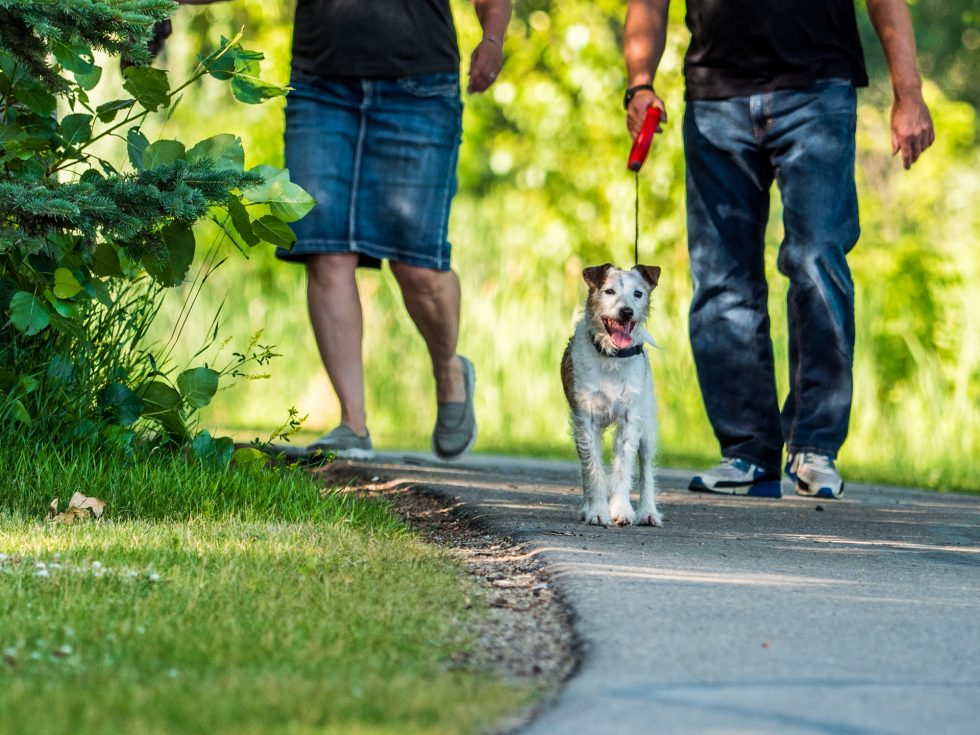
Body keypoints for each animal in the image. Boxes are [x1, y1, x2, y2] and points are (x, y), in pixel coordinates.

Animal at [564, 264, 664, 528]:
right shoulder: (586, 421)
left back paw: (648, 512)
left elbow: (622, 469)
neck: (612, 357)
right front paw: (597, 511)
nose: (626, 312)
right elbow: (593, 469)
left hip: (647, 428)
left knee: (647, 469)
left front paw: (621, 510)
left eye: (638, 293)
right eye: (609, 291)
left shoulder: (630, 421)